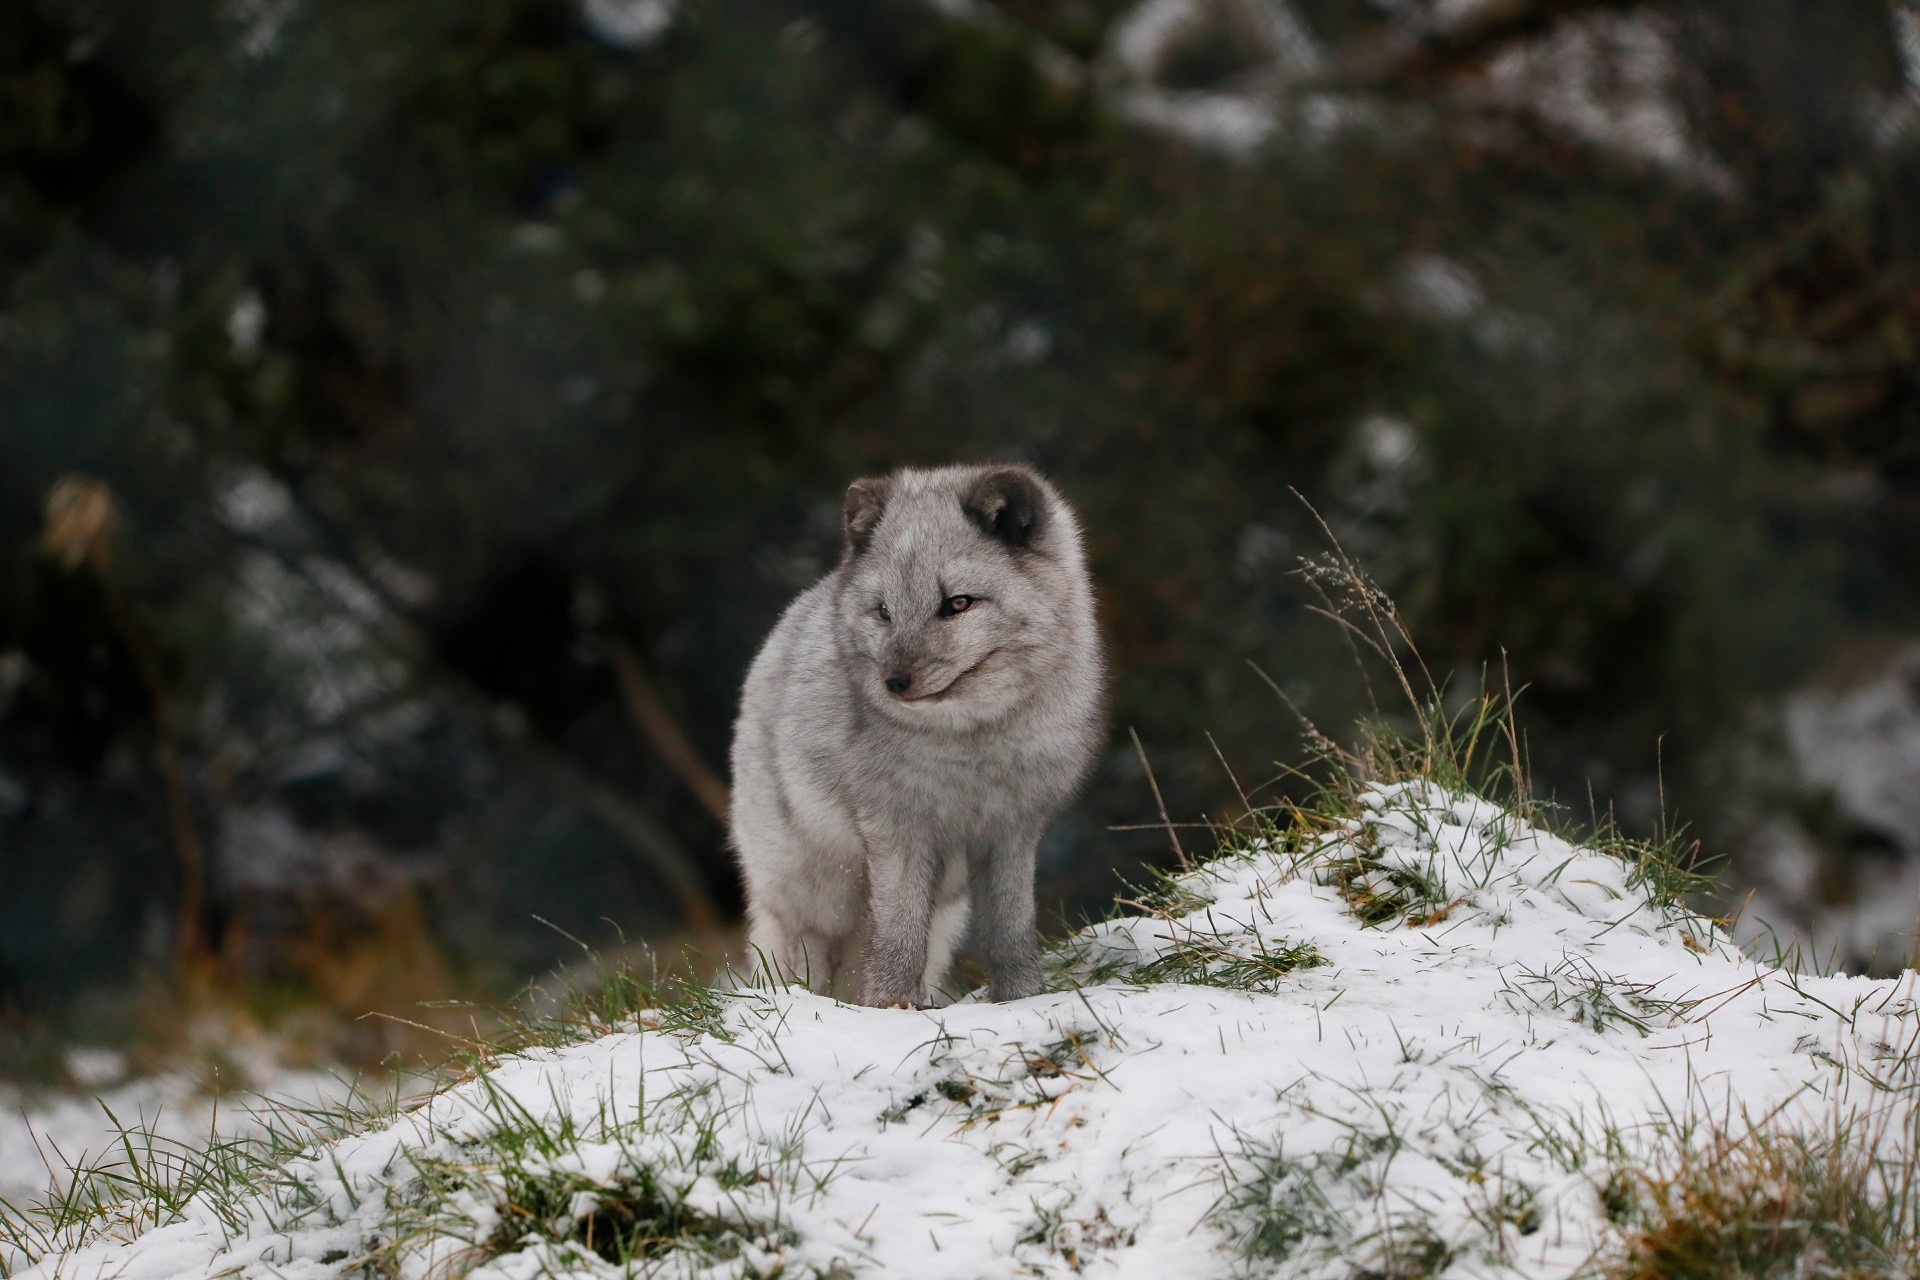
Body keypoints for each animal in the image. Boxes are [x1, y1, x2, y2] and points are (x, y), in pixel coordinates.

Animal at [729, 463, 1105, 1007]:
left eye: (958, 603)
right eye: (884, 611)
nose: (894, 682)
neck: (971, 747)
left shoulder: (1012, 833)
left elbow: (1011, 932)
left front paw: (1022, 1000)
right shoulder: (898, 833)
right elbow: (898, 935)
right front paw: (891, 1010)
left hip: (946, 904)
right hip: (818, 894)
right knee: (805, 951)